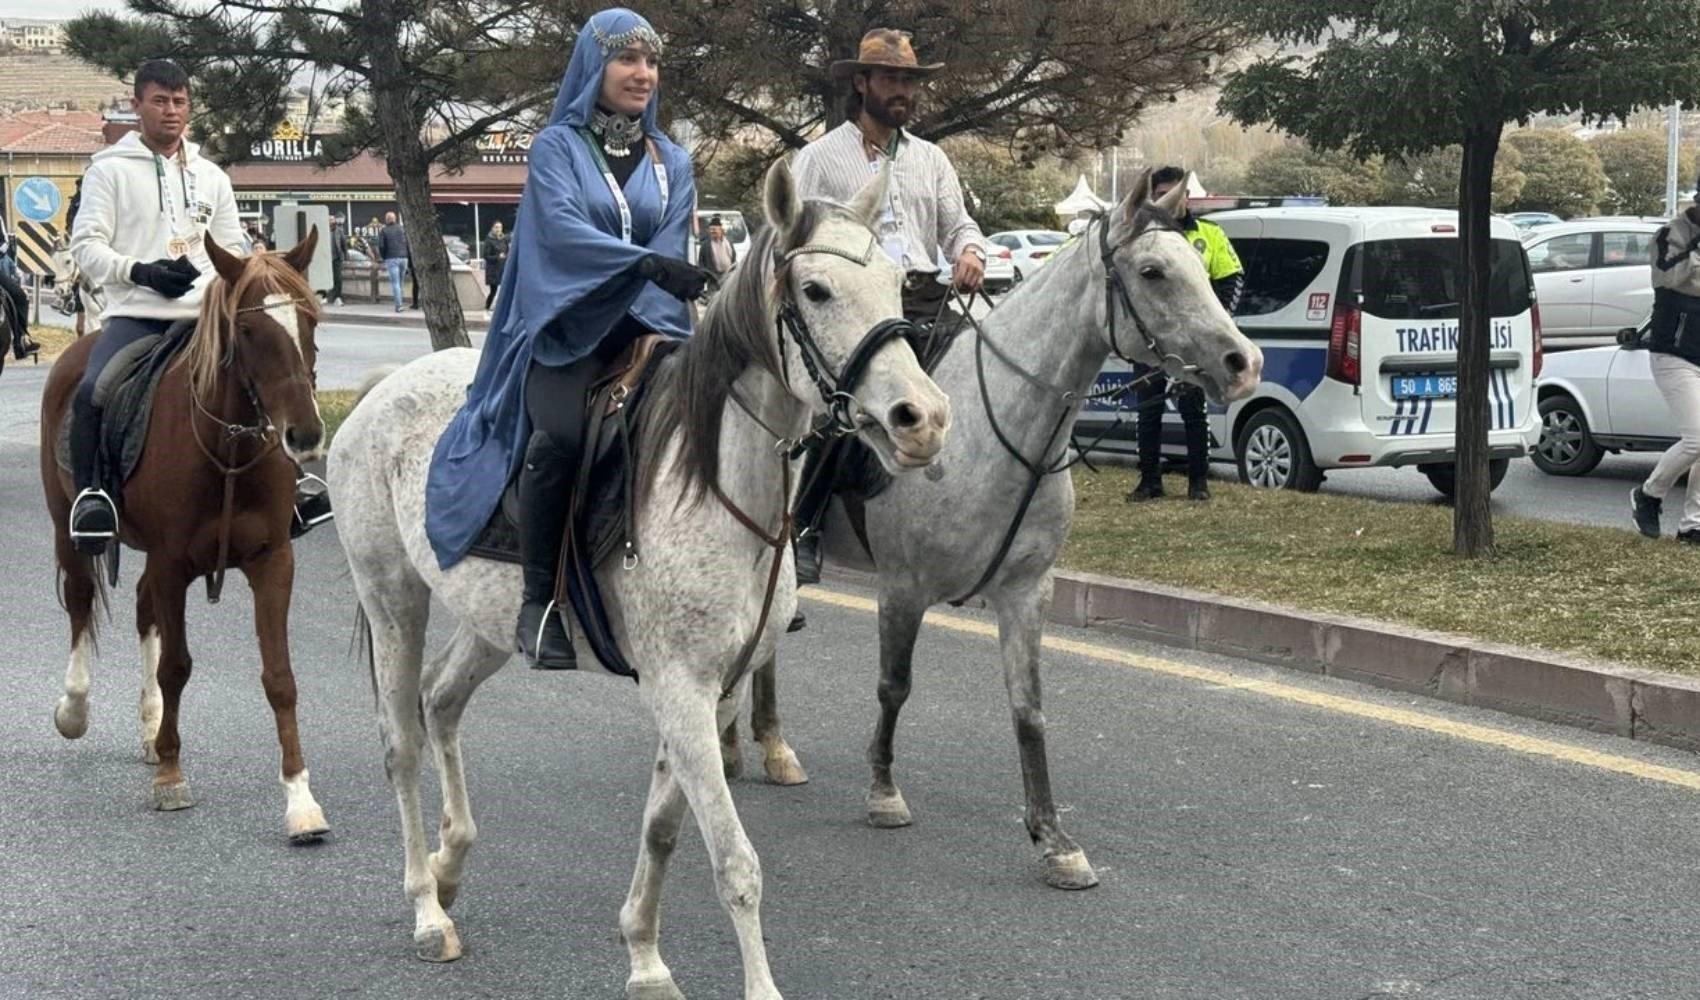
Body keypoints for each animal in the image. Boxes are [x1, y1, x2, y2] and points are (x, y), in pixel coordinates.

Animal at [40, 231, 331, 840]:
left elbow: (280, 677)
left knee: (142, 607)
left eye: (310, 319)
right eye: (248, 331)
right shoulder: (173, 563)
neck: (228, 449)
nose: (306, 434)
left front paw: (300, 799)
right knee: (80, 601)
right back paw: (75, 710)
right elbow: (176, 667)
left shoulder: (273, 561)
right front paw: (171, 779)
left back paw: (151, 728)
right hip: (68, 529)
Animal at [324, 159, 952, 993]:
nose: (924, 418)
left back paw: (451, 863)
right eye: (816, 290)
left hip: (489, 625)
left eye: (895, 283)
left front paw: (645, 957)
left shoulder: (714, 692)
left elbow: (662, 830)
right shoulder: (680, 688)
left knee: (441, 702)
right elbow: (735, 863)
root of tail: (384, 388)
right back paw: (427, 908)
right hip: (392, 596)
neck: (717, 486)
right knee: (401, 742)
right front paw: (753, 982)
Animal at [720, 170, 1264, 891]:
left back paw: (772, 746)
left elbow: (1028, 710)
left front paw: (1054, 840)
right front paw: (884, 792)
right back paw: (738, 745)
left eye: (1203, 267)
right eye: (1153, 272)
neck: (996, 430)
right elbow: (894, 686)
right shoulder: (903, 588)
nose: (1243, 362)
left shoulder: (1027, 591)